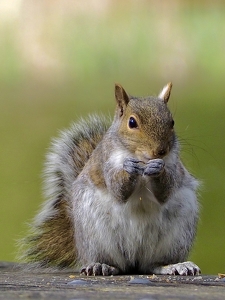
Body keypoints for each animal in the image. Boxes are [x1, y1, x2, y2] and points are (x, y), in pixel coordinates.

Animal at [19, 83, 200, 276]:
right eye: (132, 122)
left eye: (172, 122)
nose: (160, 151)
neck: (141, 158)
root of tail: (134, 262)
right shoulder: (106, 164)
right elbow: (117, 190)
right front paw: (129, 168)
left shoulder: (173, 166)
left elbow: (165, 192)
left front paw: (157, 168)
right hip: (96, 237)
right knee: (116, 264)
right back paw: (101, 265)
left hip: (176, 236)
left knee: (153, 264)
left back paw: (175, 265)